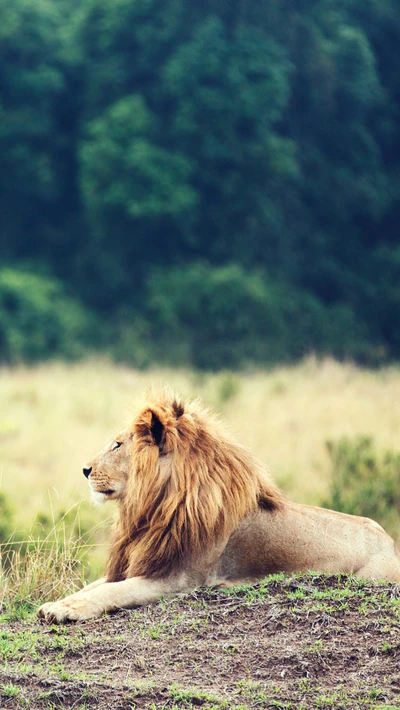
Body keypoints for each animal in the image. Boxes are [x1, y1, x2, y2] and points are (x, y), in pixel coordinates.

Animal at [37, 386, 400, 624]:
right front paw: (55, 603)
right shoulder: (145, 563)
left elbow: (113, 592)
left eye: (117, 445)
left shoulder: (179, 579)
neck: (156, 505)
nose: (85, 470)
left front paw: (64, 610)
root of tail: (390, 544)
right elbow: (97, 585)